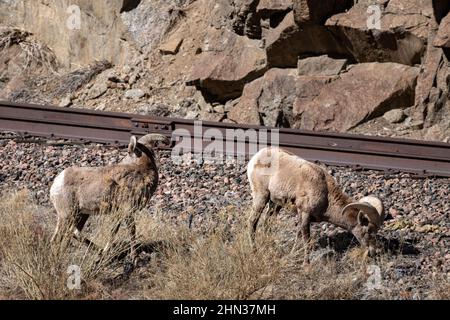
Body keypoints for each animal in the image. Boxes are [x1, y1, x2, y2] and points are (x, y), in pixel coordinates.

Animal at [49, 134, 169, 262]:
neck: (143, 172)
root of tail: (56, 183)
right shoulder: (127, 211)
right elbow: (131, 231)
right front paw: (135, 258)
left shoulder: (119, 213)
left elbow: (113, 231)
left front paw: (107, 251)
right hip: (67, 216)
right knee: (58, 239)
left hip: (81, 215)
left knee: (75, 233)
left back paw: (100, 252)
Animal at [248, 147, 384, 255]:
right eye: (369, 230)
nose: (373, 252)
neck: (327, 195)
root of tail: (256, 157)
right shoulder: (305, 214)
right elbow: (306, 241)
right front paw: (306, 265)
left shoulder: (303, 218)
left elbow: (298, 237)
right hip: (262, 196)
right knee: (252, 221)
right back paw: (254, 251)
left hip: (275, 203)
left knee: (267, 223)